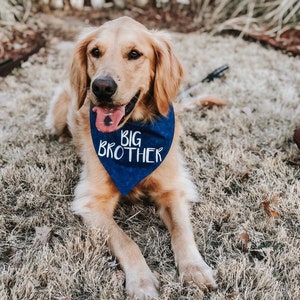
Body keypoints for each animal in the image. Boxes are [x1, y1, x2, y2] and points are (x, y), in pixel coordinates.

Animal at [45, 17, 217, 300]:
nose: (102, 87)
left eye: (134, 54)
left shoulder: (172, 188)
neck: (133, 135)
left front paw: (195, 269)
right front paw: (142, 282)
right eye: (95, 52)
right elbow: (127, 242)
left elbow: (182, 231)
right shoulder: (92, 202)